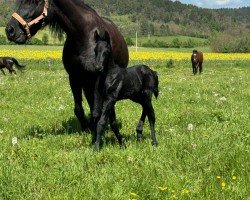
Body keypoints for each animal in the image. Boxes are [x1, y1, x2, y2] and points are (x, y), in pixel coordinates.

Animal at [5, 0, 129, 132]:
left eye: (35, 2)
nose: (10, 30)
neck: (84, 36)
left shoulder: (97, 78)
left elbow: (98, 109)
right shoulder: (74, 77)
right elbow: (79, 109)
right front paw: (86, 129)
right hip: (86, 83)